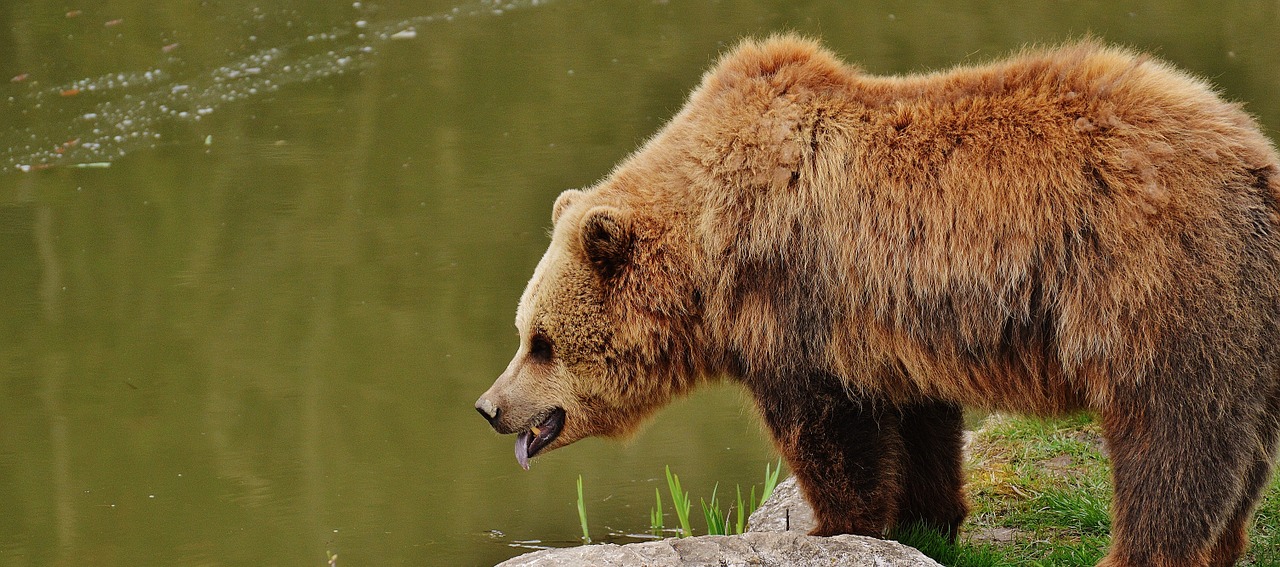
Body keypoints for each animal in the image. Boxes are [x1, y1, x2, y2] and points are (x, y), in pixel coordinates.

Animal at [476, 36, 1280, 567]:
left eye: (540, 341)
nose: (490, 406)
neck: (709, 249)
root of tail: (1253, 157)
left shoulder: (797, 301)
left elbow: (829, 431)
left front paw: (830, 527)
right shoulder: (899, 322)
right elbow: (921, 427)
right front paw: (926, 518)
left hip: (1158, 288)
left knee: (1170, 445)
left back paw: (1142, 551)